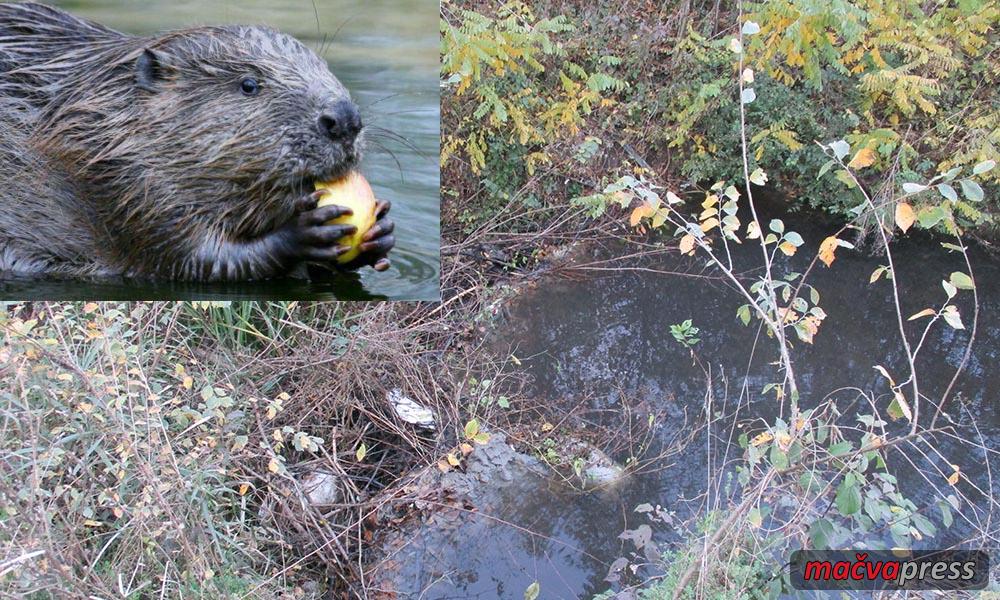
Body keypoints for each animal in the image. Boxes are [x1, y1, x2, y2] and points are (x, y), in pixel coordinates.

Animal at [0, 2, 396, 282]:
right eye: (248, 84)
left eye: (324, 68)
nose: (344, 119)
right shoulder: (130, 186)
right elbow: (200, 261)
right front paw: (305, 231)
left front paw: (380, 230)